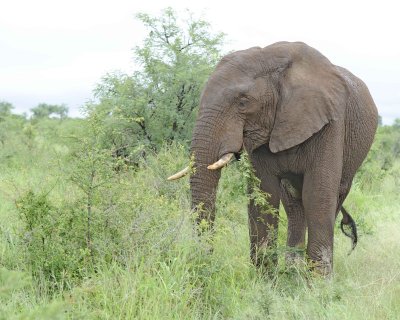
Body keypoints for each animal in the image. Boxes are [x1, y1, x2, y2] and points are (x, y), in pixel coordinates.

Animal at [168, 40, 378, 276]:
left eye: (243, 102)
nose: (202, 263)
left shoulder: (331, 123)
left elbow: (318, 194)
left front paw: (319, 283)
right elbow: (264, 191)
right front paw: (264, 278)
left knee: (333, 196)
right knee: (293, 202)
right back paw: (293, 270)